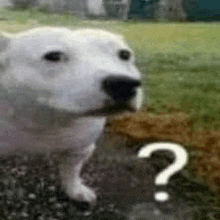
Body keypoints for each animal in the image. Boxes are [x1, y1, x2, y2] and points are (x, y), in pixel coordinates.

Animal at [0, 27, 143, 206]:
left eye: (124, 54)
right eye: (54, 56)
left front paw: (75, 190)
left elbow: (72, 172)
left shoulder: (81, 149)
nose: (123, 83)